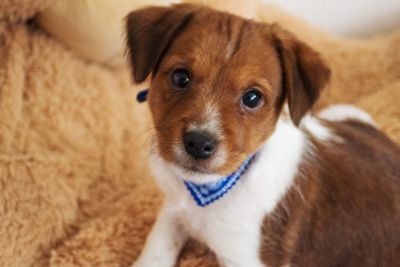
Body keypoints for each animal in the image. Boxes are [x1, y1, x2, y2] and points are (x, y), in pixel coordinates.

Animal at [125, 4, 400, 267]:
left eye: (252, 98)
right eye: (180, 77)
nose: (199, 143)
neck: (208, 191)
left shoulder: (247, 258)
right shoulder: (172, 207)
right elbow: (157, 245)